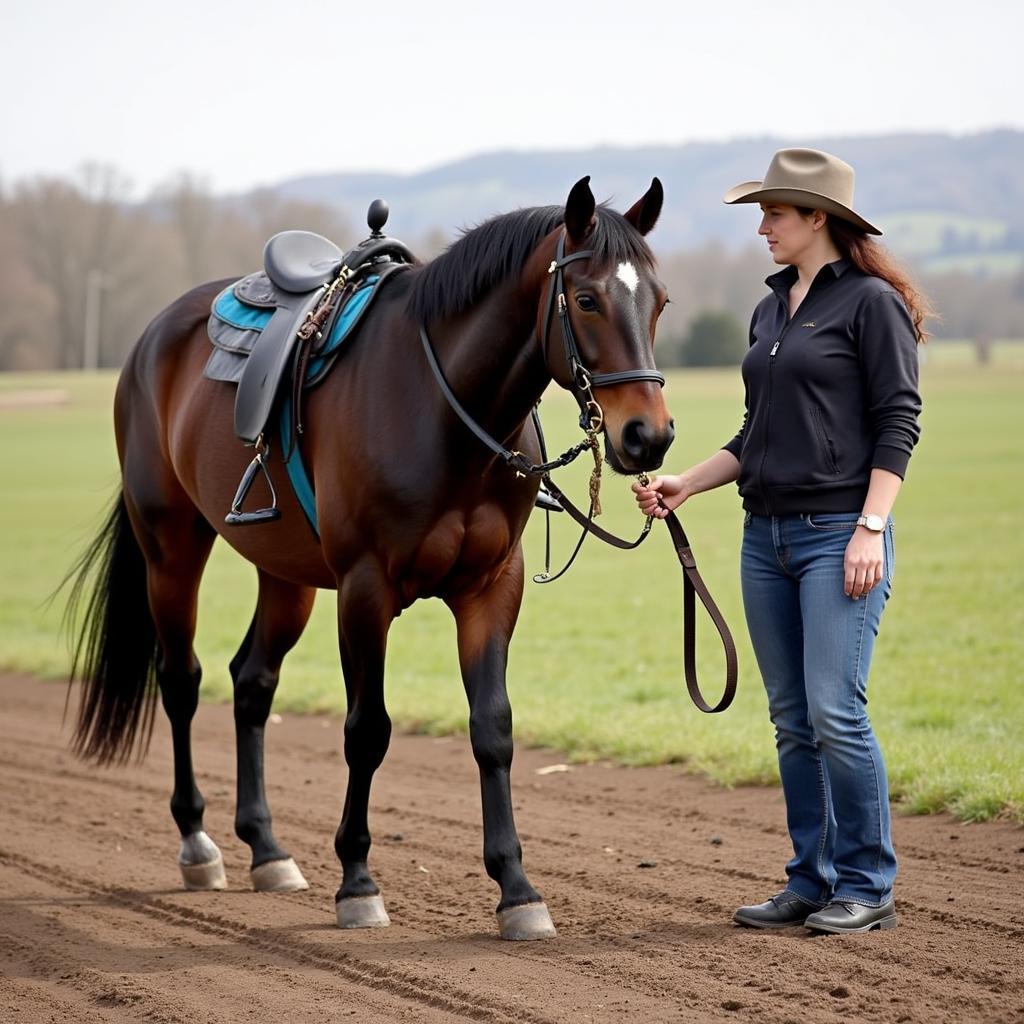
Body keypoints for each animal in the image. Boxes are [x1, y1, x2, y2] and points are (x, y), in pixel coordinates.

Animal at [64, 172, 671, 937]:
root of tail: (155, 336)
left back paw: (266, 847)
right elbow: (367, 729)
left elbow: (493, 728)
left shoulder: (492, 587)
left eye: (659, 300)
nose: (649, 436)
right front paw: (357, 881)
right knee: (181, 680)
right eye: (587, 299)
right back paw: (198, 843)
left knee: (251, 682)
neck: (443, 411)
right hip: (171, 549)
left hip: (286, 575)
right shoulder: (364, 589)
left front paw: (517, 888)